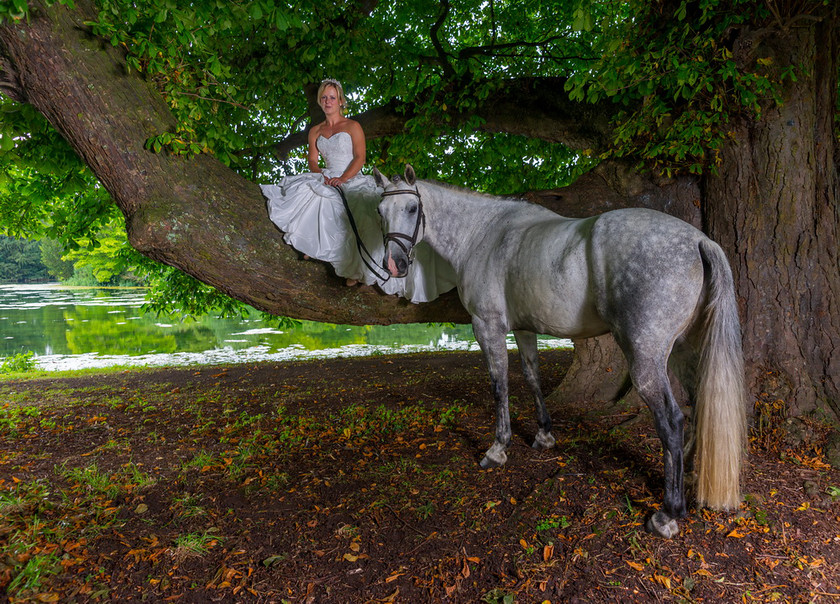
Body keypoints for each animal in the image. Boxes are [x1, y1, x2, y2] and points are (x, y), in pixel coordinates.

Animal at [378, 165, 744, 536]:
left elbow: (500, 386)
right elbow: (532, 378)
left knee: (671, 420)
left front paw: (498, 449)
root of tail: (698, 241)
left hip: (646, 357)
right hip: (685, 348)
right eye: (380, 211)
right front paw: (544, 435)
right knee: (699, 402)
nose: (394, 265)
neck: (483, 234)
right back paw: (693, 476)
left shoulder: (487, 327)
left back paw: (668, 512)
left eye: (412, 208)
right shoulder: (524, 329)